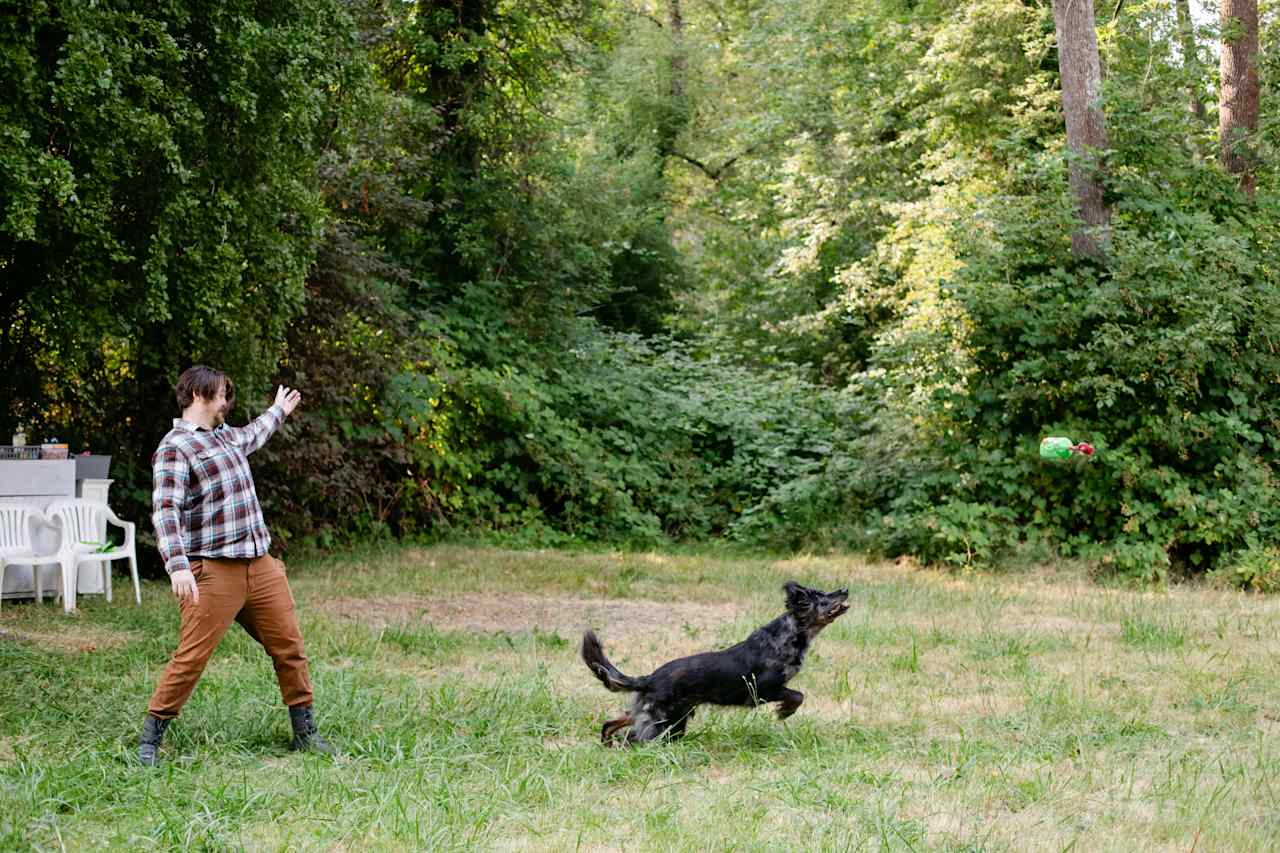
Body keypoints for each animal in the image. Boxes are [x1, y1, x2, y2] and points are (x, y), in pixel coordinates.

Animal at [583, 581, 849, 742]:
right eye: (823, 598)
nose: (844, 589)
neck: (785, 637)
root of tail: (649, 679)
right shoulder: (763, 689)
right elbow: (797, 695)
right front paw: (784, 712)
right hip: (663, 721)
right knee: (633, 737)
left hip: (661, 715)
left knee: (611, 723)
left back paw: (607, 743)